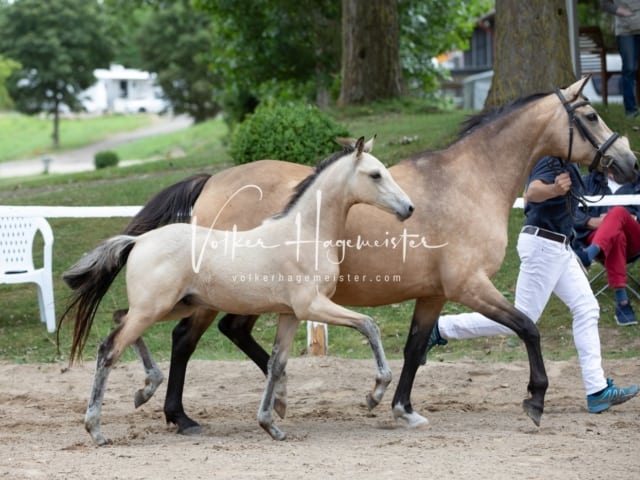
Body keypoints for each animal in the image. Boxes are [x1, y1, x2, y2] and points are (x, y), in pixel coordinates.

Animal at [122, 77, 636, 434]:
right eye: (591, 115)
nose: (628, 163)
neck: (469, 182)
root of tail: (211, 181)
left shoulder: (433, 294)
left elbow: (414, 348)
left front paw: (402, 409)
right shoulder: (470, 285)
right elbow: (527, 326)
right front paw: (535, 401)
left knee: (230, 332)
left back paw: (272, 398)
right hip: (218, 293)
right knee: (184, 340)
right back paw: (182, 416)